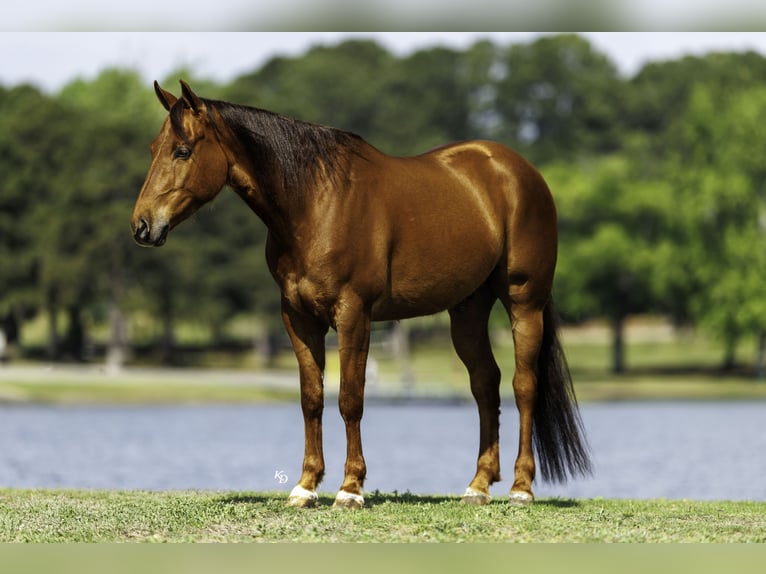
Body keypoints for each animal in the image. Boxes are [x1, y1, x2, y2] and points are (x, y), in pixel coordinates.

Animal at [131, 80, 591, 509]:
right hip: (468, 310)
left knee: (523, 385)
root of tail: (520, 171)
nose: (142, 226)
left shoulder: (353, 313)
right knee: (485, 384)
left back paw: (521, 488)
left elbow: (350, 398)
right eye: (153, 148)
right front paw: (305, 487)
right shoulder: (298, 318)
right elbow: (312, 398)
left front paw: (350, 489)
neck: (316, 203)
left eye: (183, 151)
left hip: (524, 303)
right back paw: (477, 486)